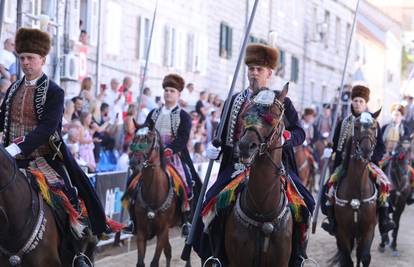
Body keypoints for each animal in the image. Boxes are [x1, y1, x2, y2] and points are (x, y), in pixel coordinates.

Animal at [129, 127, 192, 267]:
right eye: (134, 139)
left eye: (149, 140)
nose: (134, 162)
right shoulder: (141, 231)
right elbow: (140, 262)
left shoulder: (162, 230)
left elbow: (154, 262)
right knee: (168, 251)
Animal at [332, 110, 384, 266]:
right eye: (356, 126)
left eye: (374, 127)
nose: (366, 150)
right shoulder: (342, 231)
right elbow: (346, 259)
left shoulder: (368, 229)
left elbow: (365, 256)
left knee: (360, 254)